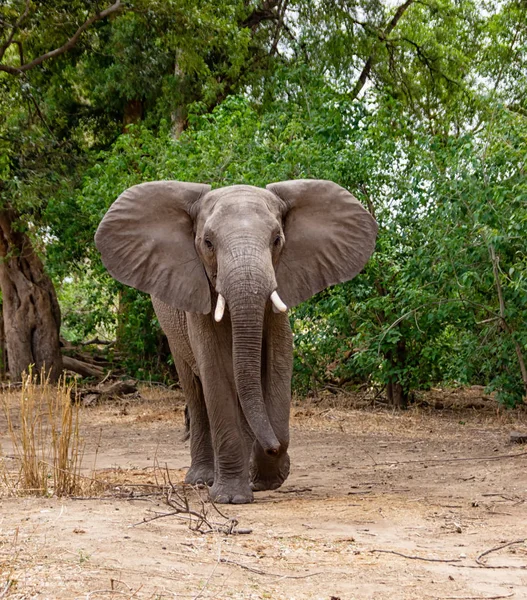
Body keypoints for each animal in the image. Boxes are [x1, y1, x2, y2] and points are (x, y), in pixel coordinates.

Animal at [94, 178, 376, 502]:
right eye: (207, 243)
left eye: (277, 240)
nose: (273, 448)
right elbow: (216, 370)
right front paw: (231, 498)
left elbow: (279, 363)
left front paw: (266, 477)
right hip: (172, 331)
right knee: (196, 391)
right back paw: (202, 479)